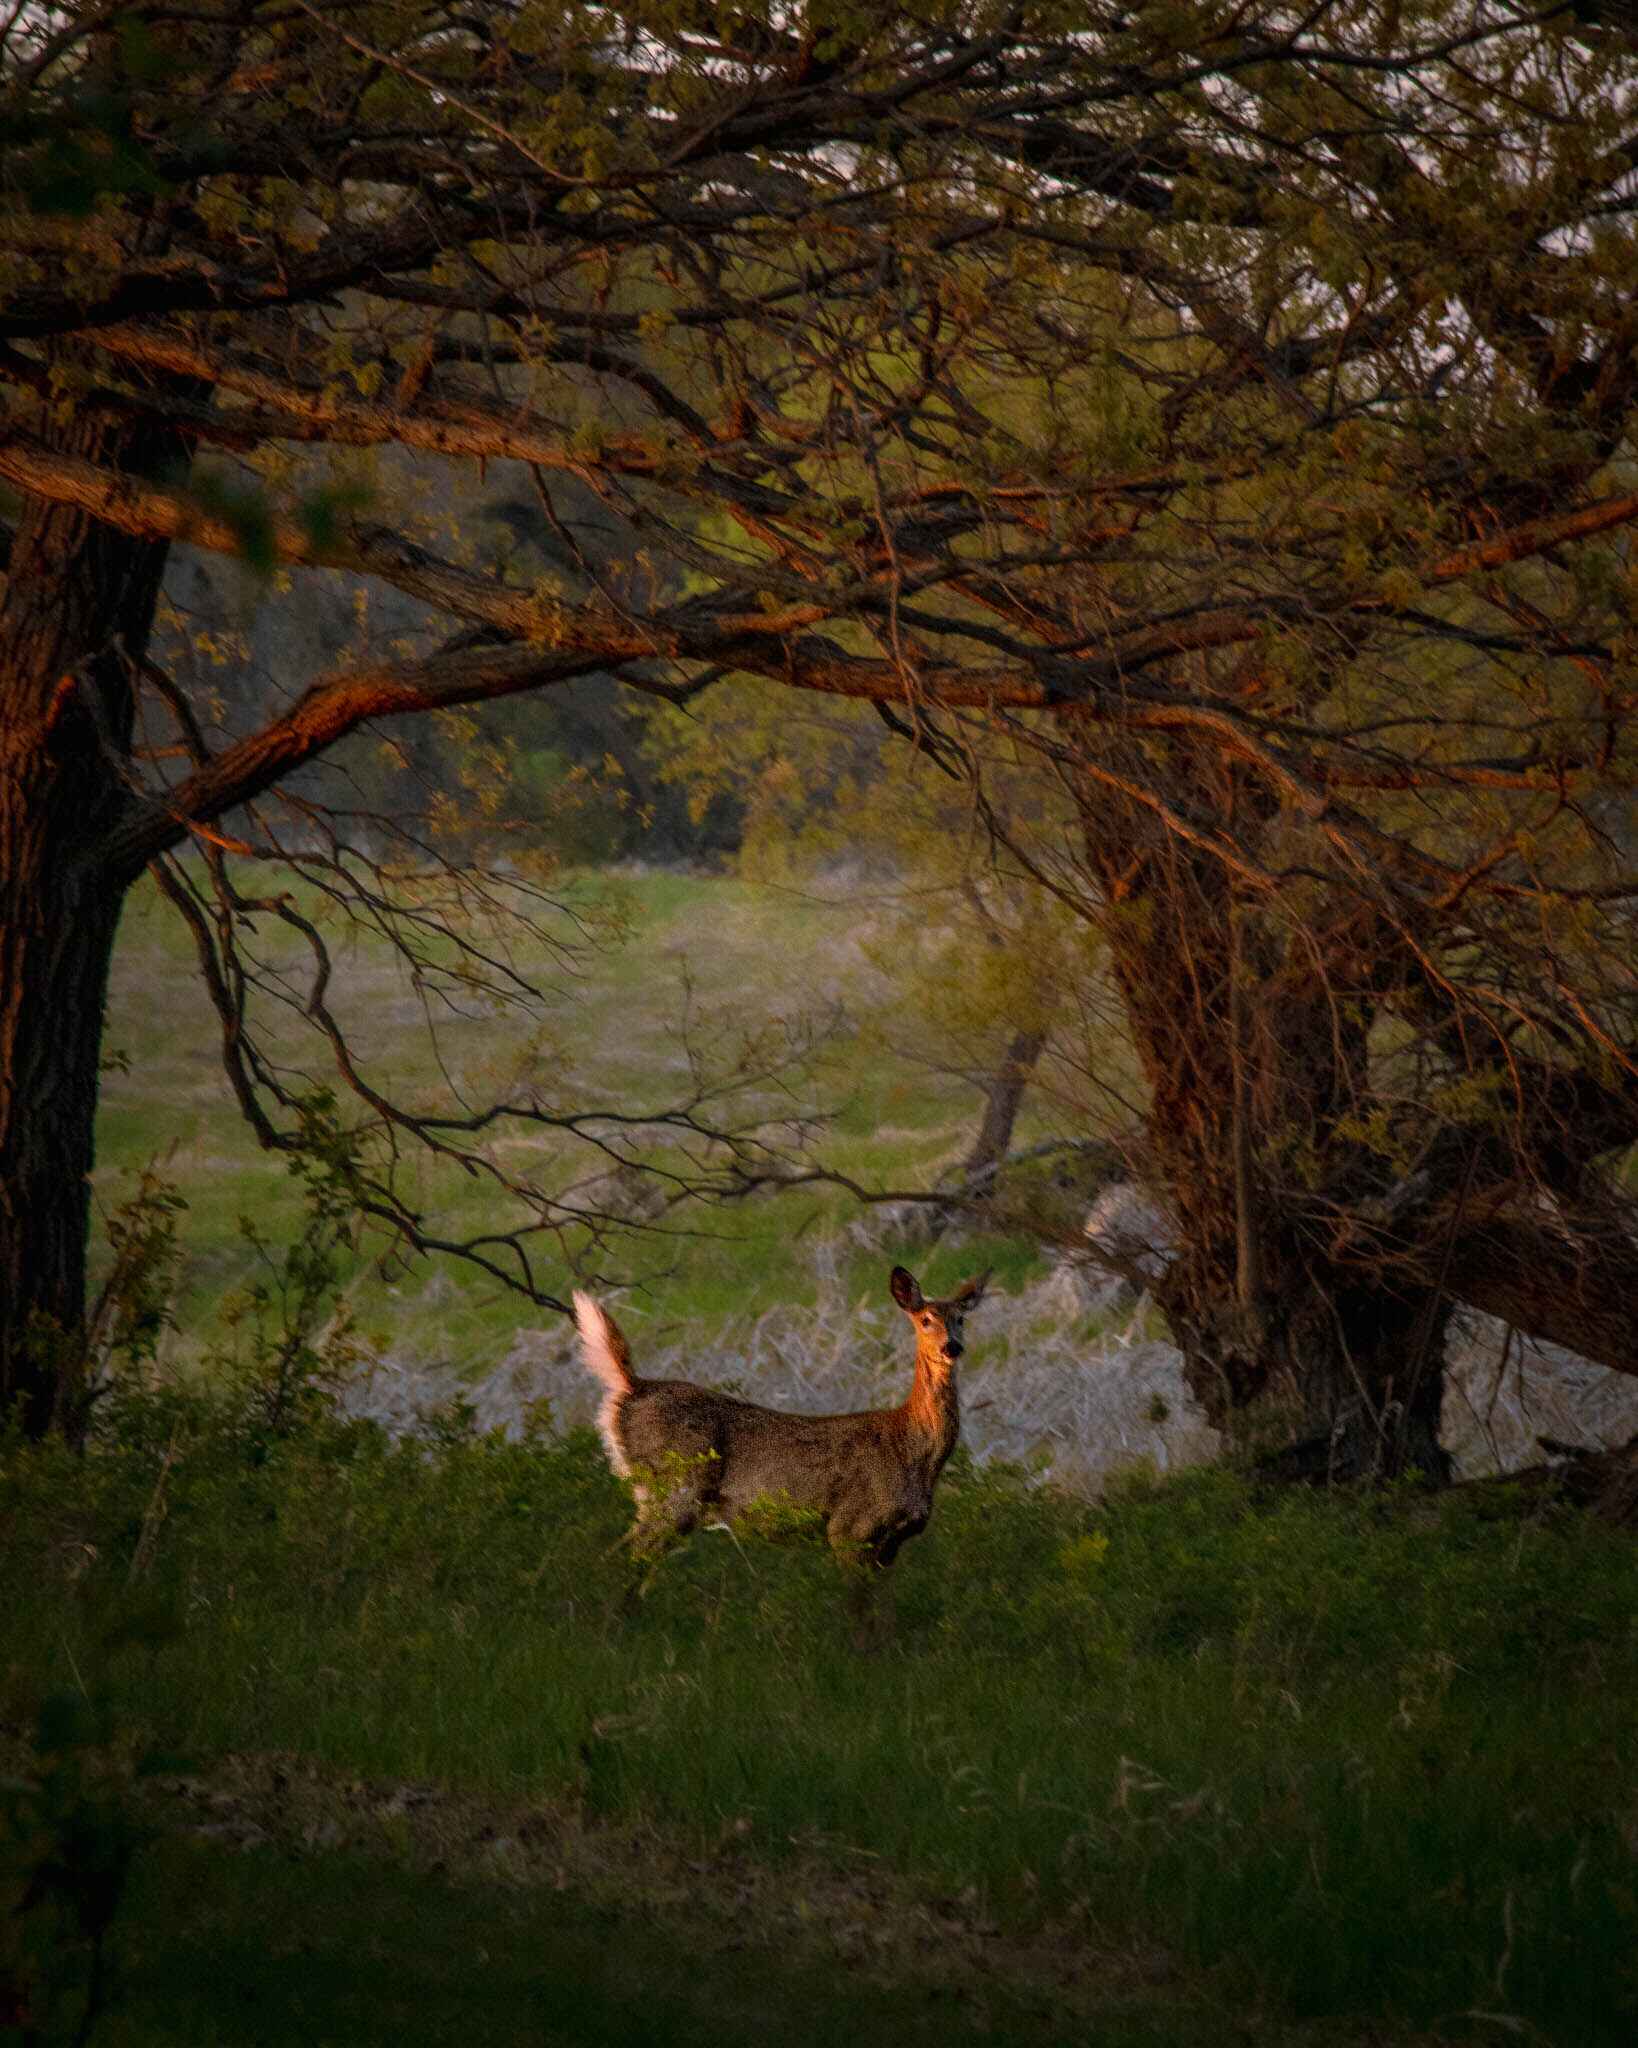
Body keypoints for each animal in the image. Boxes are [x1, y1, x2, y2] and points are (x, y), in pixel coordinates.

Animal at [572, 1264, 990, 1613]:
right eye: (925, 1319)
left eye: (961, 1319)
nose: (952, 1346)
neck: (915, 1452)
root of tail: (631, 1387)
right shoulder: (850, 1525)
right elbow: (859, 1611)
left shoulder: (891, 1543)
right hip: (675, 1487)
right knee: (622, 1555)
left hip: (655, 1493)